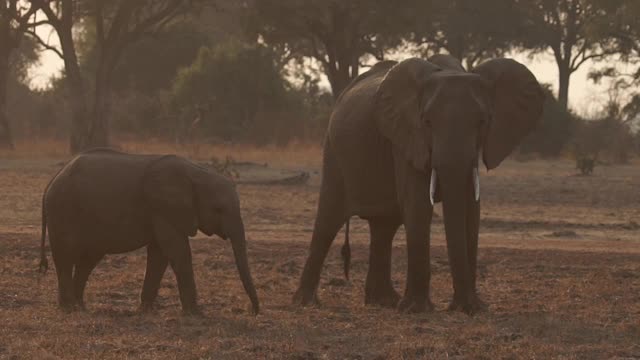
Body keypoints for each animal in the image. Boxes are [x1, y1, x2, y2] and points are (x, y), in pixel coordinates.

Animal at [38, 148, 258, 314]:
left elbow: (160, 255)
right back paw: (69, 308)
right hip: (63, 211)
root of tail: (50, 182)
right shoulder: (163, 208)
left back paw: (80, 307)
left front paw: (145, 311)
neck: (196, 173)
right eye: (218, 209)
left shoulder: (162, 212)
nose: (251, 311)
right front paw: (195, 314)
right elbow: (177, 252)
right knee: (66, 256)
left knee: (89, 259)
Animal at [292, 54, 544, 314]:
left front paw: (474, 307)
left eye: (483, 121)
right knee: (328, 220)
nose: (460, 307)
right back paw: (306, 302)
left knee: (384, 226)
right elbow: (419, 204)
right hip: (333, 152)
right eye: (427, 121)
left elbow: (472, 210)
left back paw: (384, 301)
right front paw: (417, 309)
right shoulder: (407, 138)